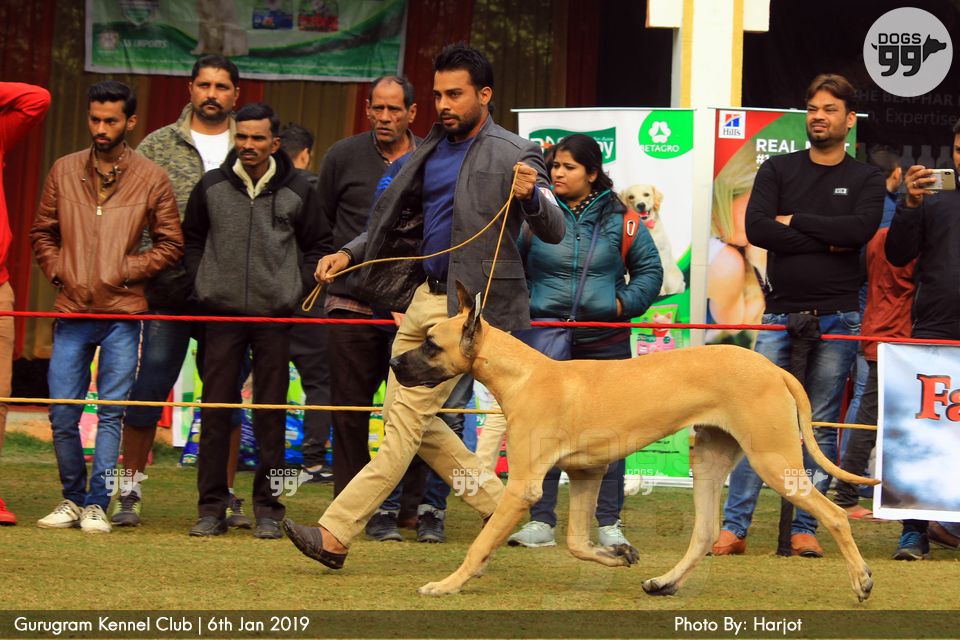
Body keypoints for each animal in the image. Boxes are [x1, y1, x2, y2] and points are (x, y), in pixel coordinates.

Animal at [389, 282, 877, 602]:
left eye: (431, 344)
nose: (394, 364)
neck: (524, 374)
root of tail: (774, 369)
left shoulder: (524, 485)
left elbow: (481, 543)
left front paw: (447, 584)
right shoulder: (586, 472)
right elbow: (577, 542)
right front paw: (618, 553)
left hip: (774, 460)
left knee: (834, 516)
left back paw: (861, 580)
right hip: (710, 461)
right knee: (703, 533)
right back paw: (666, 582)